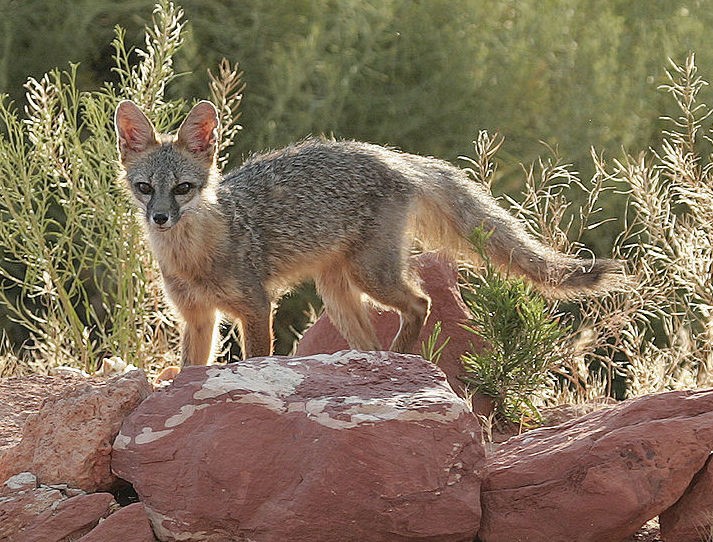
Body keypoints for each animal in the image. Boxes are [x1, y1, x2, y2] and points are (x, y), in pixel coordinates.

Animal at [115, 100, 625, 366]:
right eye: (145, 188)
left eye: (183, 188)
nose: (160, 218)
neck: (192, 257)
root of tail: (388, 154)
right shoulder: (198, 318)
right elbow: (188, 371)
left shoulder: (257, 307)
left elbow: (256, 357)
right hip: (338, 295)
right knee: (377, 336)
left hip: (369, 277)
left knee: (420, 303)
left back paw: (400, 358)